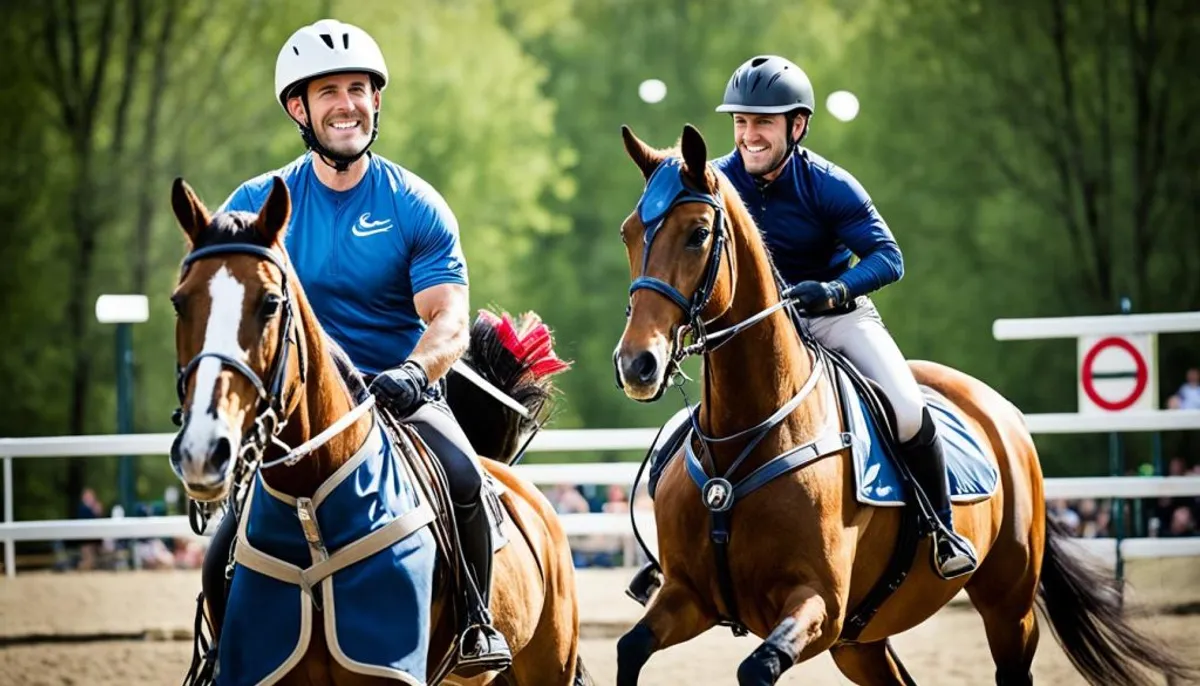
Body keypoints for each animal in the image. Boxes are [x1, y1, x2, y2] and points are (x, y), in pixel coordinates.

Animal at [614, 124, 1195, 686]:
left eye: (697, 234)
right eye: (630, 232)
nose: (636, 363)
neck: (752, 430)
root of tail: (1001, 411)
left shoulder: (818, 605)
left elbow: (757, 667)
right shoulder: (688, 595)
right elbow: (630, 649)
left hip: (1007, 606)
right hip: (860, 642)